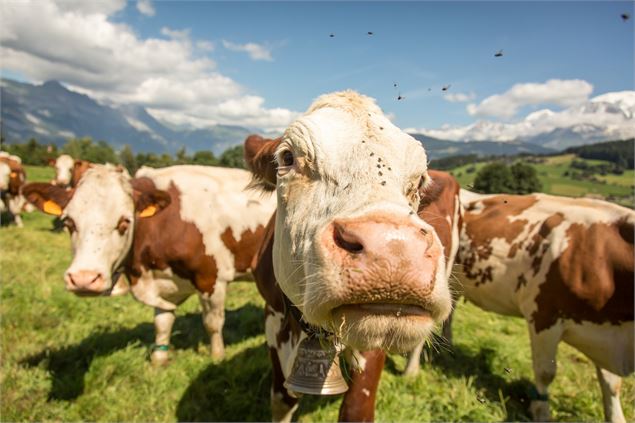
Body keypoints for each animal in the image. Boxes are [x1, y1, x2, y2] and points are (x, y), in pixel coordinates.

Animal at [23, 164, 276, 366]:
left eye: (124, 222)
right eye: (68, 222)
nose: (84, 279)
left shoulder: (211, 278)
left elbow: (212, 323)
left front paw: (217, 357)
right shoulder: (162, 281)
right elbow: (162, 323)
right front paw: (159, 360)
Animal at [243, 91, 452, 422]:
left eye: (420, 181)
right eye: (287, 157)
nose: (394, 249)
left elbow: (356, 408)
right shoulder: (273, 319)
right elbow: (281, 399)